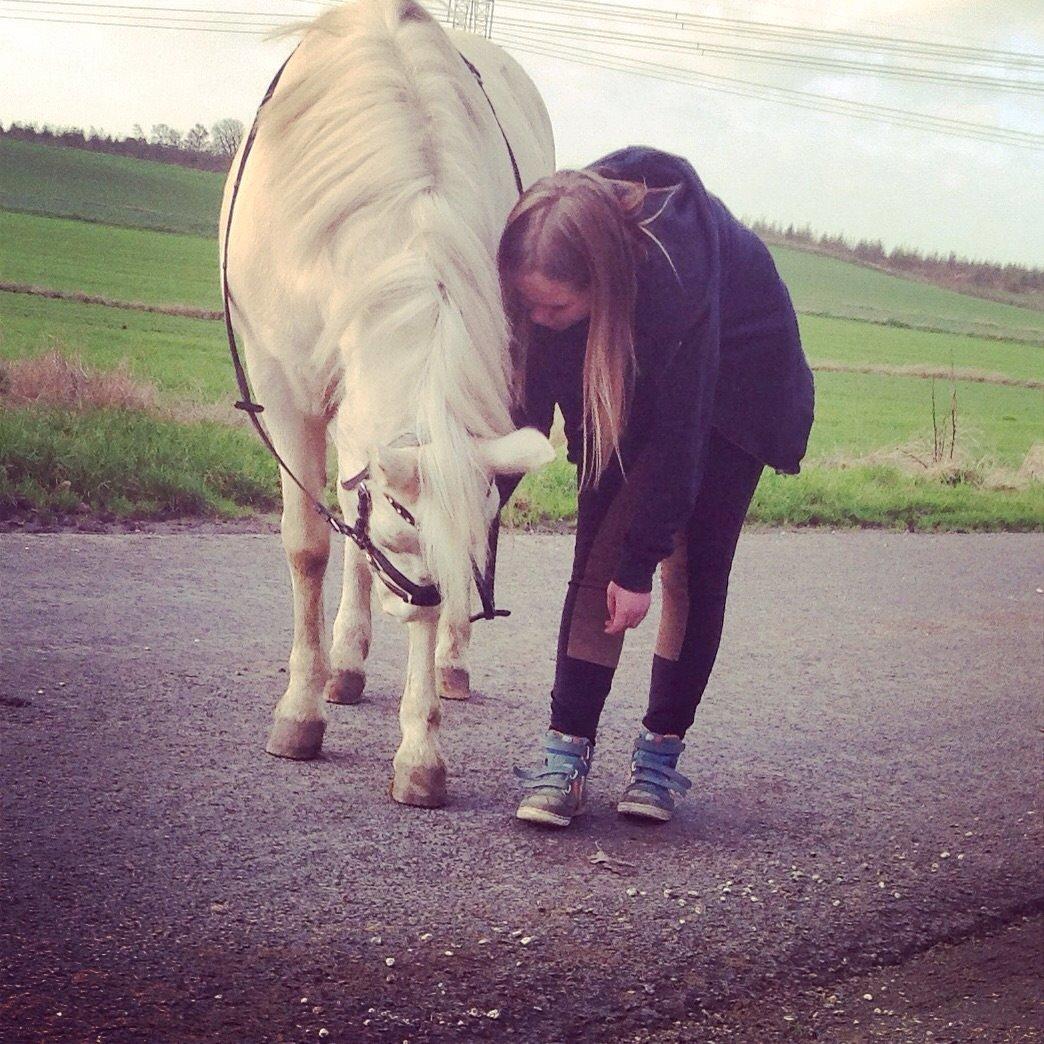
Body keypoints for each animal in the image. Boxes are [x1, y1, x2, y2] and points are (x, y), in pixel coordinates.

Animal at [222, 0, 555, 805]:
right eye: (404, 527)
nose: (431, 599)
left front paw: (420, 749)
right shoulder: (286, 389)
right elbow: (311, 546)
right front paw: (301, 709)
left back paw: (448, 663)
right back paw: (344, 664)